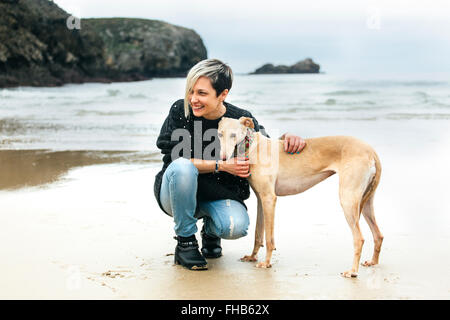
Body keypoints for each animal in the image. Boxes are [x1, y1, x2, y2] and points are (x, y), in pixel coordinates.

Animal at [218, 117, 384, 278]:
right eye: (220, 134)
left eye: (233, 135)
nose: (223, 159)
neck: (252, 147)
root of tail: (371, 151)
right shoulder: (261, 199)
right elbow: (258, 233)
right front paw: (252, 257)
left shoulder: (269, 198)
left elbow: (269, 238)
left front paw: (266, 263)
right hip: (366, 202)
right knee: (378, 235)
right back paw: (372, 262)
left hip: (348, 200)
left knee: (359, 238)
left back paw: (352, 271)